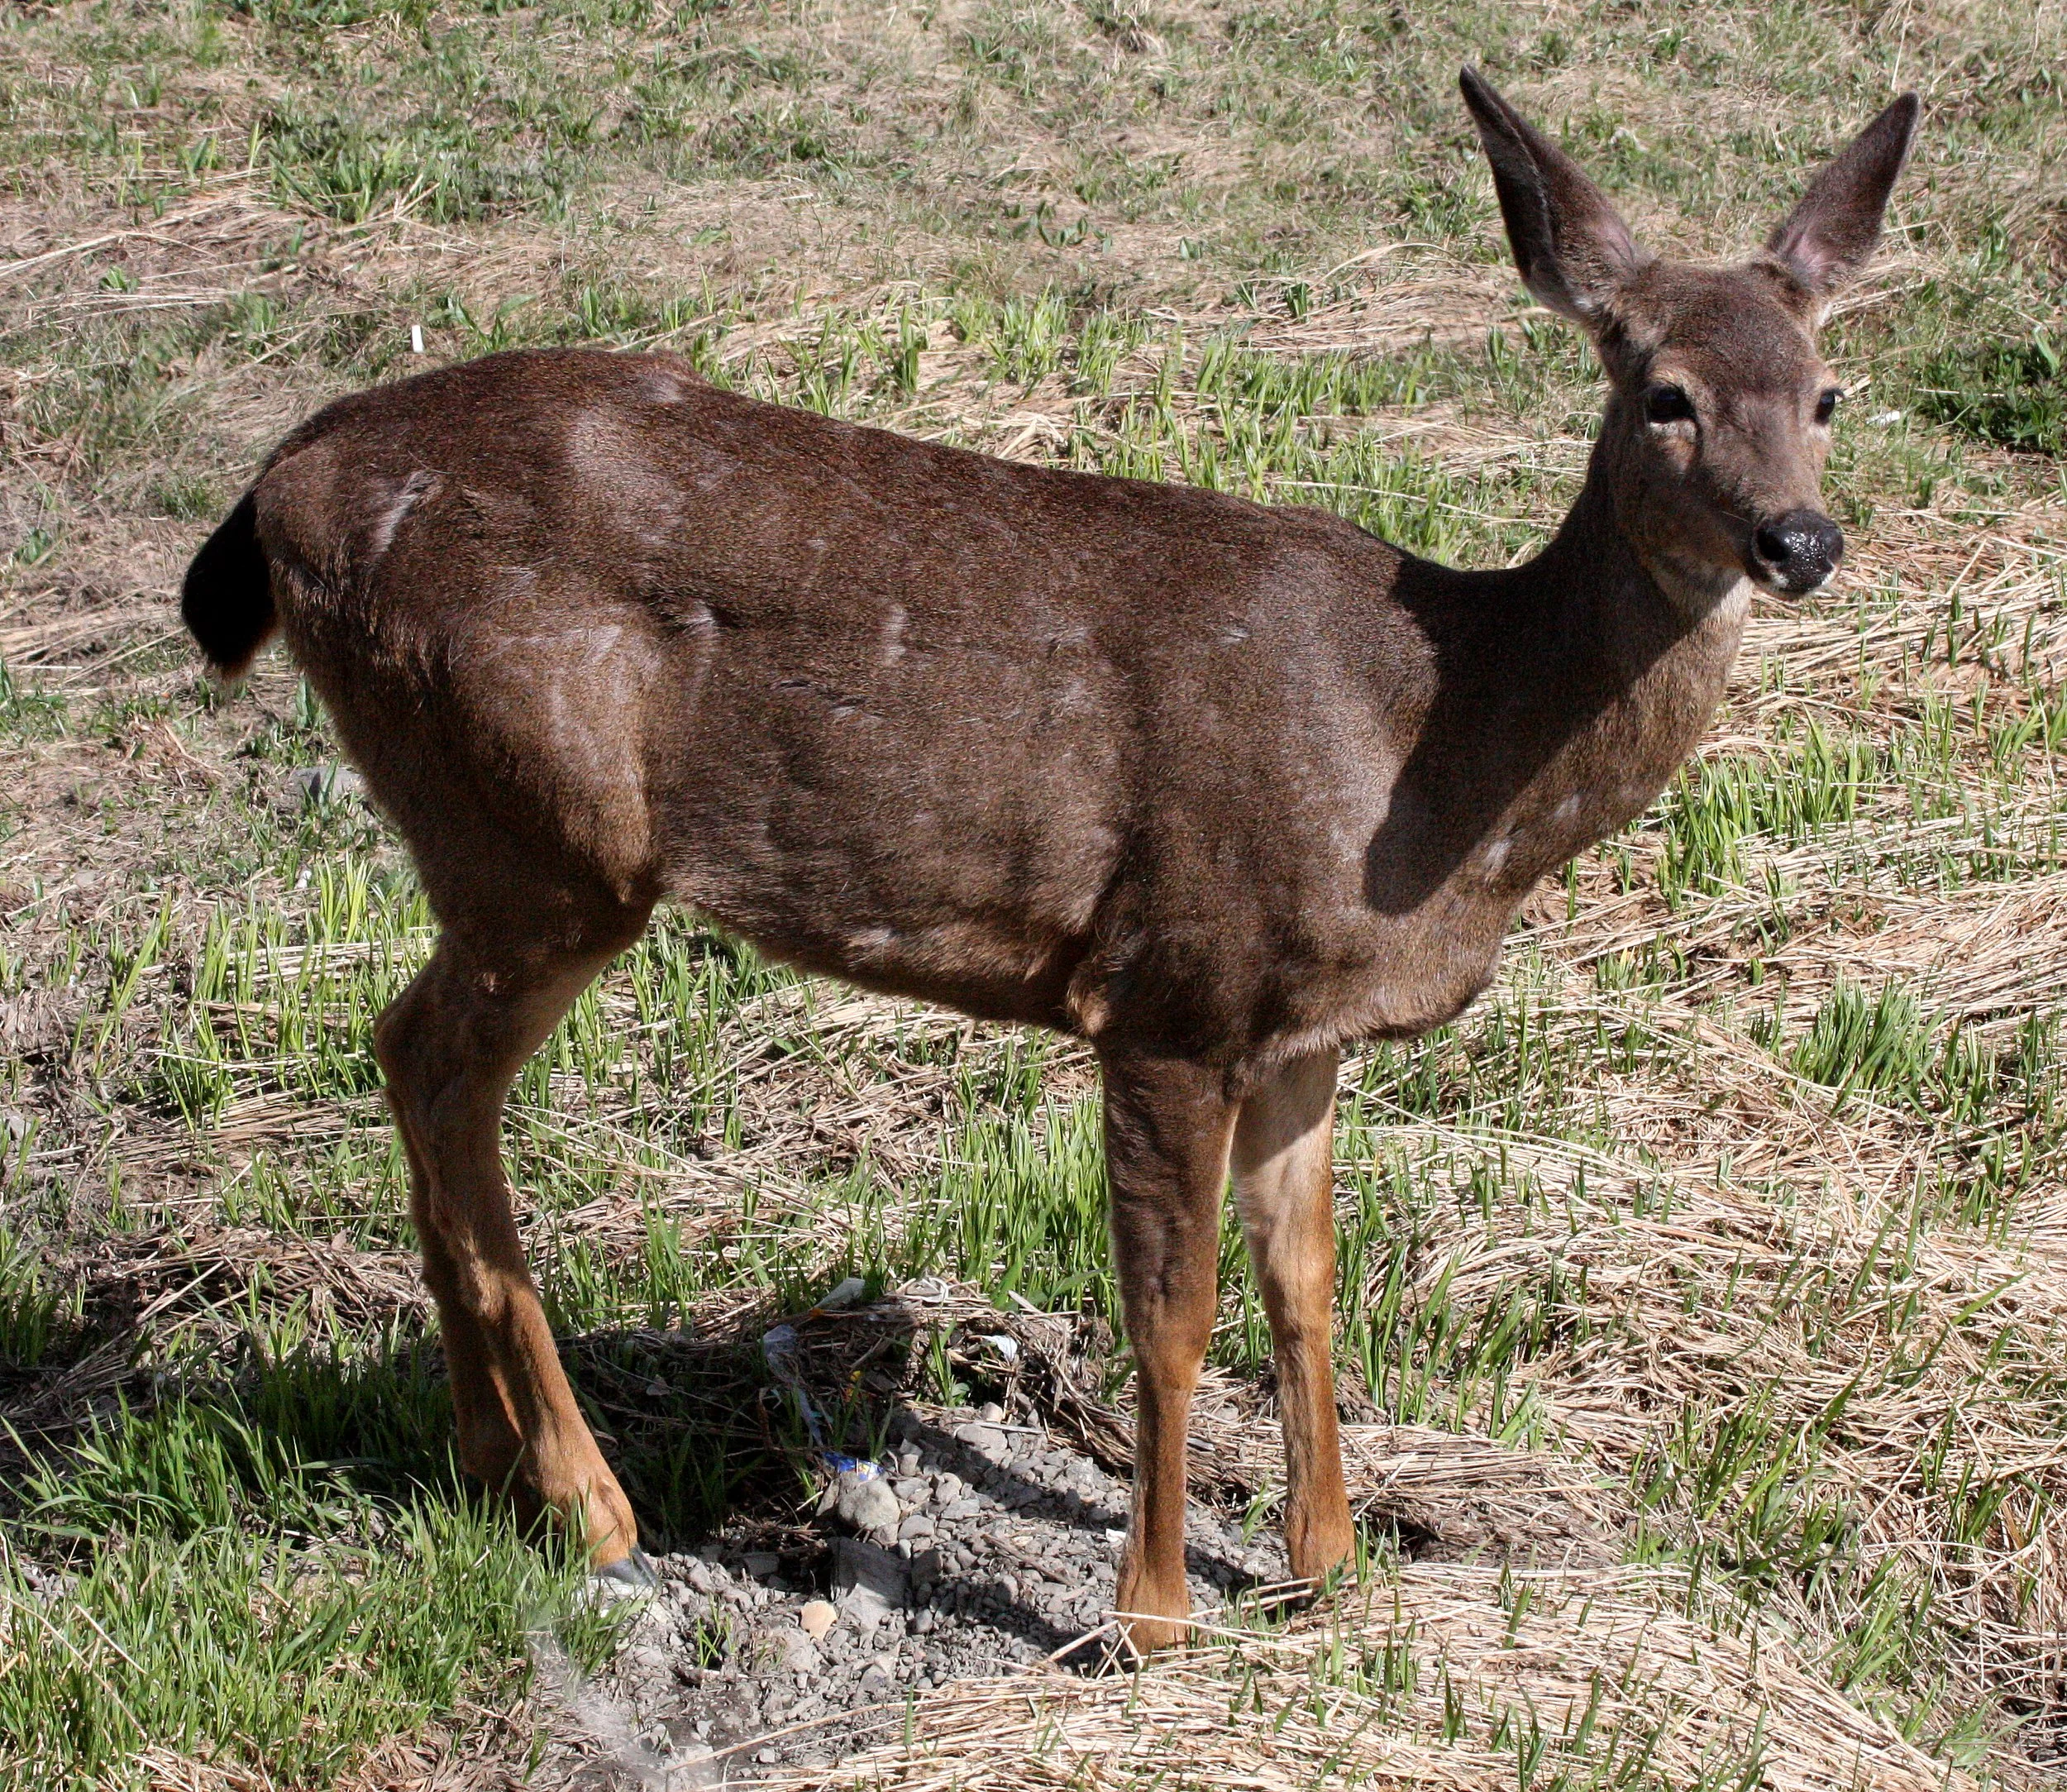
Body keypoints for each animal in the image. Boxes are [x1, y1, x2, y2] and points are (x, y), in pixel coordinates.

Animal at [179, 71, 1919, 1652]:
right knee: (433, 1063)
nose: (1801, 542)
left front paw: (1330, 1565)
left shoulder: (1307, 1034)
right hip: (537, 827)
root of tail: (277, 486)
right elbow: (1173, 1312)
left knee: (411, 1059)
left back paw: (492, 1461)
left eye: (1831, 392)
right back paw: (587, 1502)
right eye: (1664, 394)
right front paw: (1154, 1614)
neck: (1431, 748)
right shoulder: (1172, 984)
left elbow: (1305, 1287)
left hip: (503, 839)